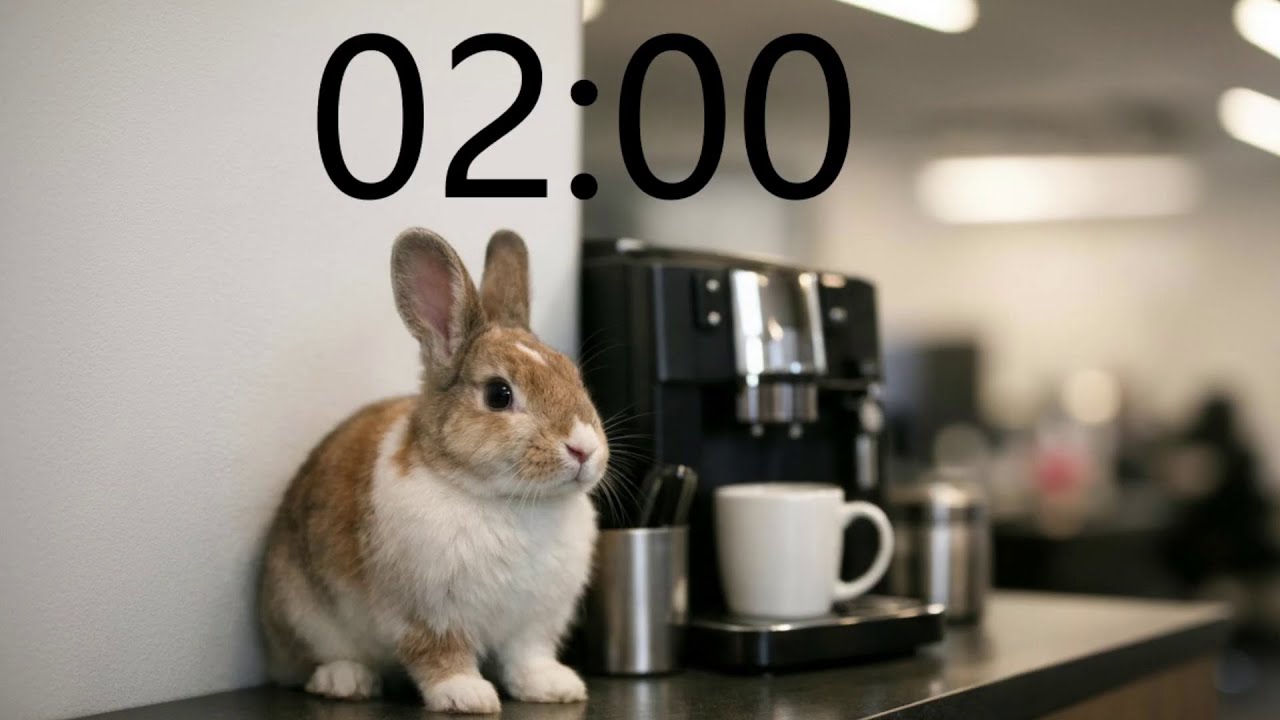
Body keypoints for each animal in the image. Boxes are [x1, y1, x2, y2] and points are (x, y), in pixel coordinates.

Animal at [258, 228, 608, 714]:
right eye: (499, 394)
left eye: (573, 376)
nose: (583, 448)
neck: (505, 500)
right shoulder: (427, 615)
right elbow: (439, 656)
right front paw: (467, 696)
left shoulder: (535, 621)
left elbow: (528, 657)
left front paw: (556, 687)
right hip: (304, 613)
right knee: (318, 660)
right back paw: (346, 681)